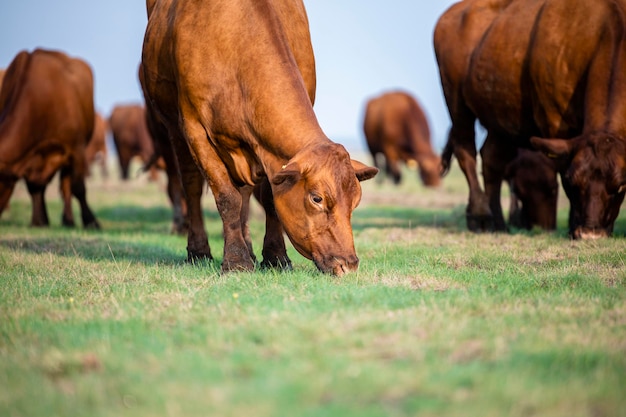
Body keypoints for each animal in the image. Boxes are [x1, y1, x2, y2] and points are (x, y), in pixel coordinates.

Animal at [0, 48, 98, 228]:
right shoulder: (30, 158)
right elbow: (35, 188)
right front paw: (39, 220)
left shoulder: (76, 149)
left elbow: (79, 188)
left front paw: (91, 221)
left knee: (66, 187)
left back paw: (69, 220)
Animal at [140, 0, 376, 272]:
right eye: (317, 198)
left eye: (355, 201)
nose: (348, 264)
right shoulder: (195, 129)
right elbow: (227, 197)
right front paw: (236, 261)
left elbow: (267, 199)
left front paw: (275, 256)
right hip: (174, 129)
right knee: (192, 185)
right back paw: (199, 251)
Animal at [434, 0, 624, 239]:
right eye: (573, 182)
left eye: (620, 186)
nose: (591, 233)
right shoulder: (555, 124)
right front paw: (572, 226)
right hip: (457, 105)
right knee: (466, 153)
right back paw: (480, 218)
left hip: (501, 118)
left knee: (492, 160)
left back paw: (499, 223)